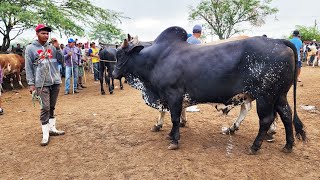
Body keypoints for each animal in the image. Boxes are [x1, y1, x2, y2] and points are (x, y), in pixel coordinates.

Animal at [112, 26, 308, 154]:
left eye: (121, 55)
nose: (113, 74)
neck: (155, 59)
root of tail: (279, 41)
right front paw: (170, 133)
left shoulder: (173, 94)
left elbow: (174, 117)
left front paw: (174, 139)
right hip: (279, 95)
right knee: (286, 115)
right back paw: (288, 145)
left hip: (265, 96)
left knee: (266, 119)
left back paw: (254, 146)